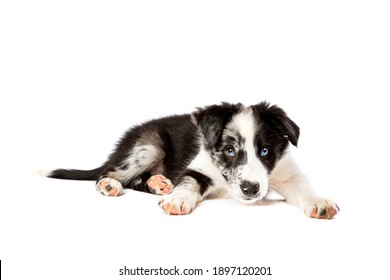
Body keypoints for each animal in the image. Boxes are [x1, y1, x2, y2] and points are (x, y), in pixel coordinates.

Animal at [45, 101, 338, 218]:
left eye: (265, 152)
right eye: (229, 150)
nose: (251, 190)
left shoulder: (288, 173)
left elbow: (305, 188)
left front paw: (320, 203)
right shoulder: (198, 168)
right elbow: (188, 184)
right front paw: (177, 200)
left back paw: (159, 183)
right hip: (149, 146)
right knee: (111, 173)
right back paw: (111, 185)